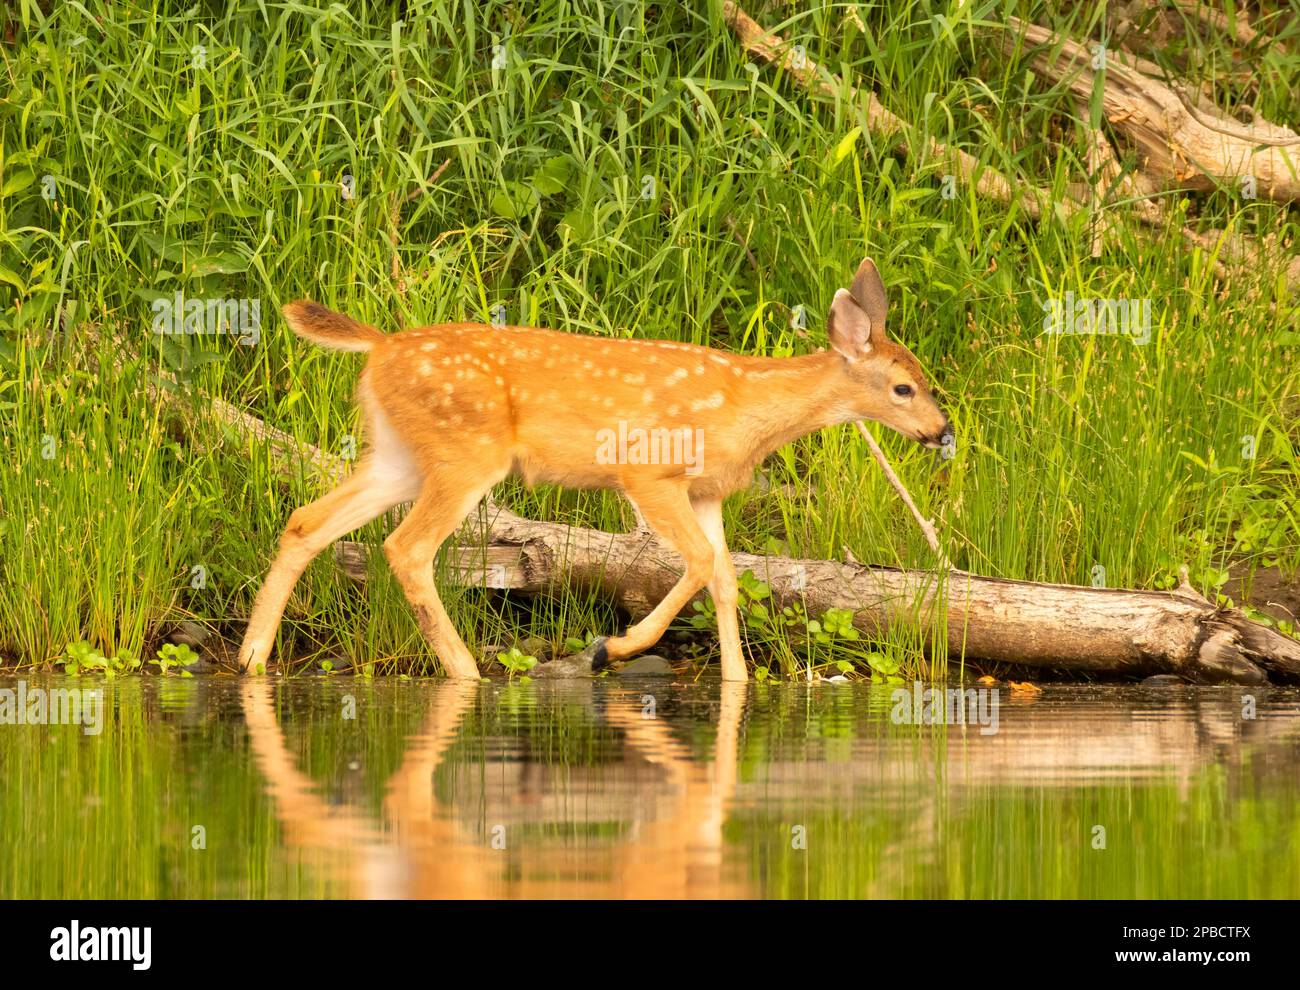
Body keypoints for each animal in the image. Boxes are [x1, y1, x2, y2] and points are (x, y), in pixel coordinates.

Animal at [237, 257, 951, 682]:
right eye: (903, 389)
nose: (942, 432)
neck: (745, 409)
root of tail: (379, 344)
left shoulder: (708, 493)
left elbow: (725, 579)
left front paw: (737, 682)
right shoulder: (648, 473)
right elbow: (699, 564)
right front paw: (616, 647)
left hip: (399, 455)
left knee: (306, 520)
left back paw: (251, 657)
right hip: (465, 454)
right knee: (406, 548)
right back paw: (467, 673)